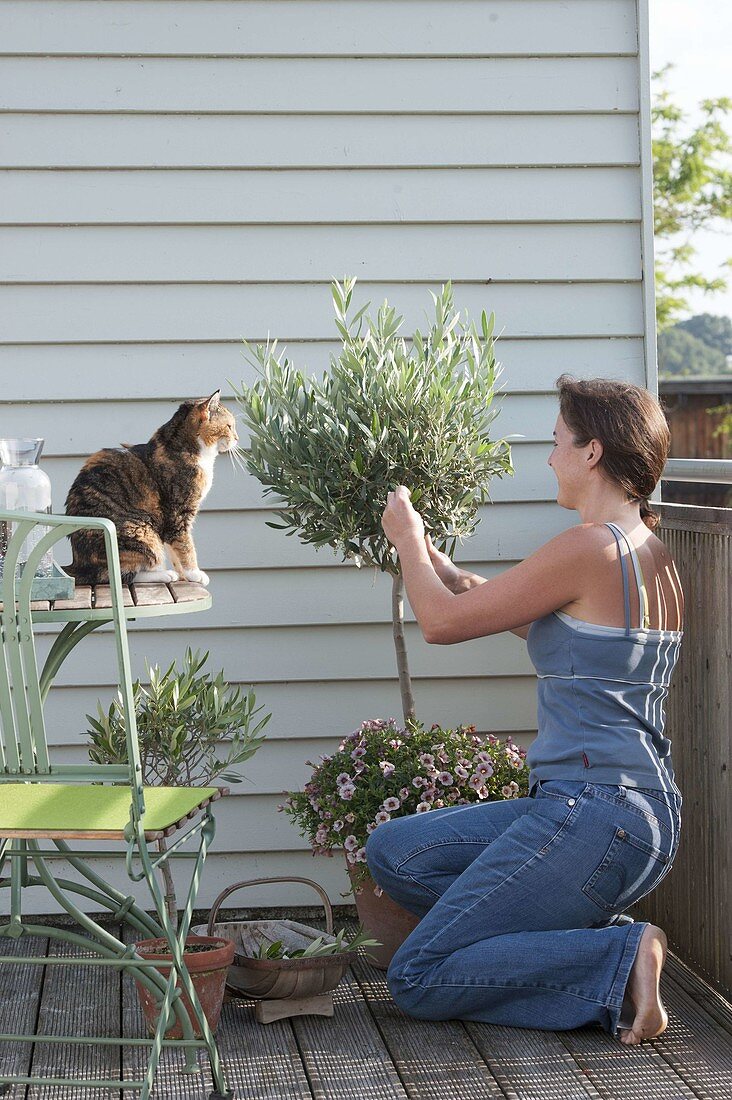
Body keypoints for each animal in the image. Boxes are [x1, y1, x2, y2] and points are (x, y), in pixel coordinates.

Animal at [65, 393, 236, 589]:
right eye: (229, 426)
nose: (237, 438)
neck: (180, 447)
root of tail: (78, 565)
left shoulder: (169, 522)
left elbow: (174, 550)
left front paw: (183, 575)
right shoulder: (179, 513)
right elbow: (185, 545)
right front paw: (194, 574)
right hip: (142, 532)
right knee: (119, 575)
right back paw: (166, 574)